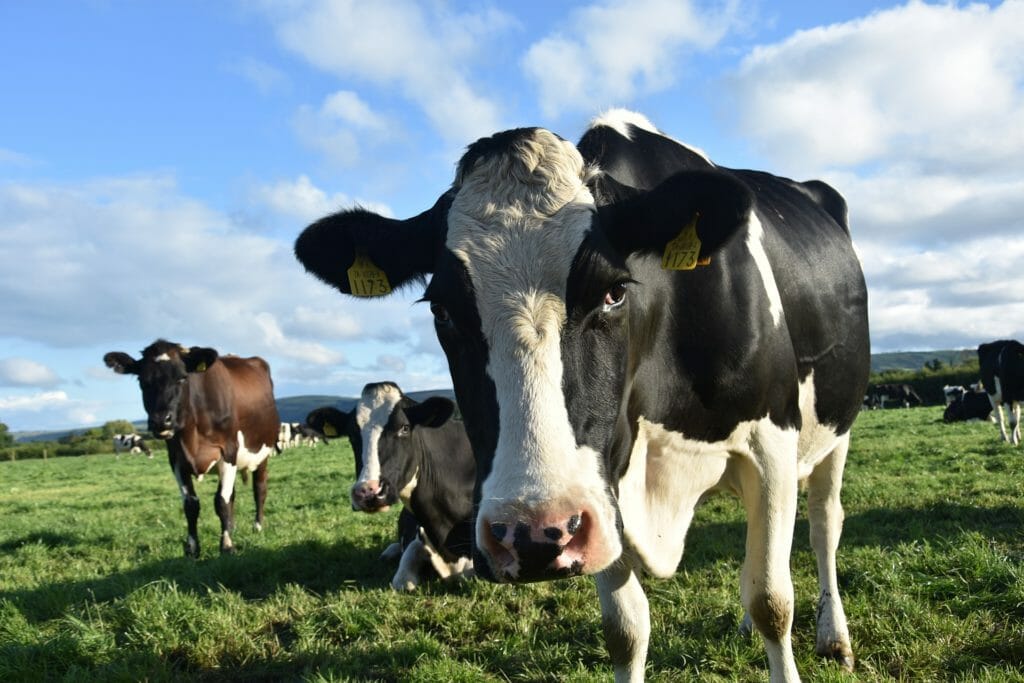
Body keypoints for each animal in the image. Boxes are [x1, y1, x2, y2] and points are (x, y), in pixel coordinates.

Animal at [104, 340, 280, 557]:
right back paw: (232, 526)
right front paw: (192, 548)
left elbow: (221, 501)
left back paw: (257, 526)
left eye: (182, 377)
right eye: (142, 381)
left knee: (259, 488)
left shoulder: (228, 452)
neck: (191, 435)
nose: (161, 420)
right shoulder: (177, 460)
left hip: (263, 453)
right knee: (233, 494)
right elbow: (191, 505)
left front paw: (227, 545)